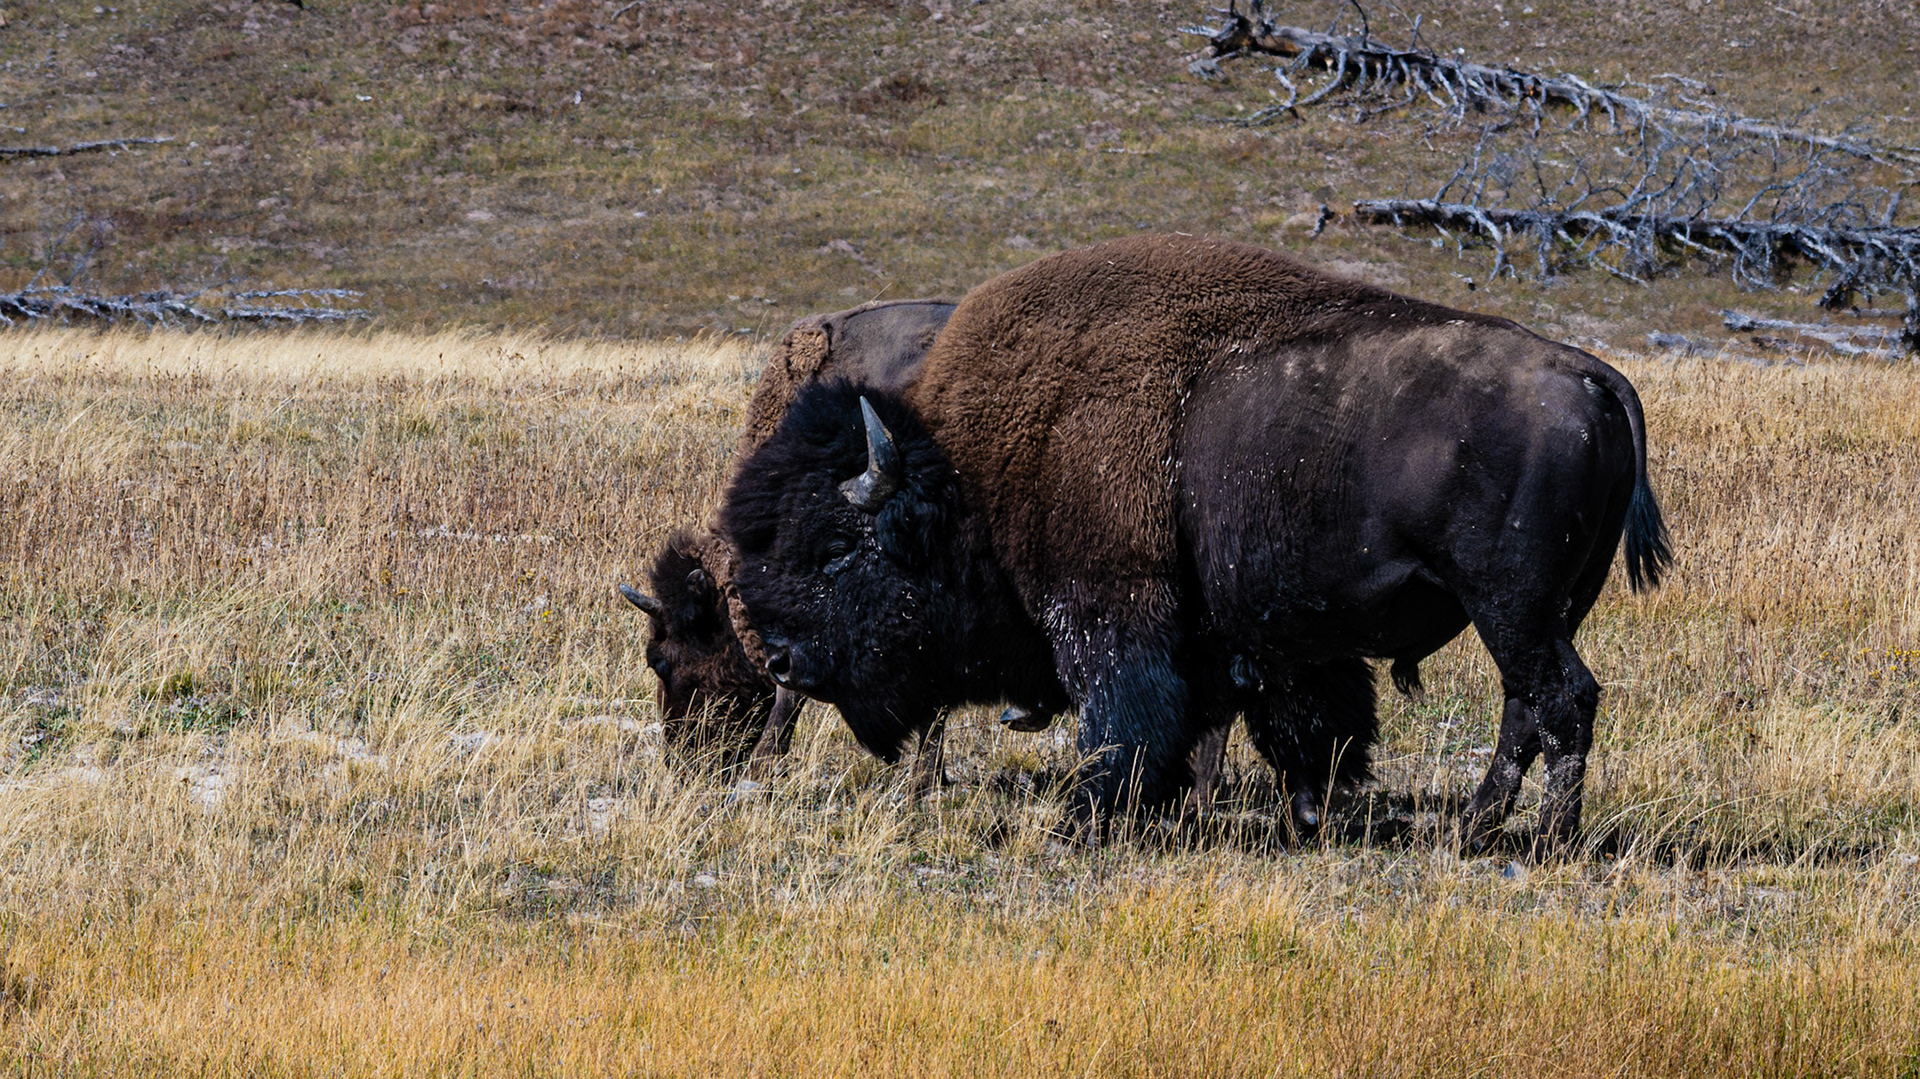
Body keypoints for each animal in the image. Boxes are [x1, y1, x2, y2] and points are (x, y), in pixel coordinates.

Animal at [722, 234, 1671, 848]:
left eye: (838, 550)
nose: (782, 657)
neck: (975, 476)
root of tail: (1591, 371)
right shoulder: (1258, 637)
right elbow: (1290, 720)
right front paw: (1299, 812)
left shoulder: (1109, 612)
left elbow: (1126, 720)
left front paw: (1086, 823)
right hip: (1537, 613)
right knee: (1527, 707)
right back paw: (1481, 826)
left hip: (1512, 605)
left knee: (1561, 701)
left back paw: (1541, 838)